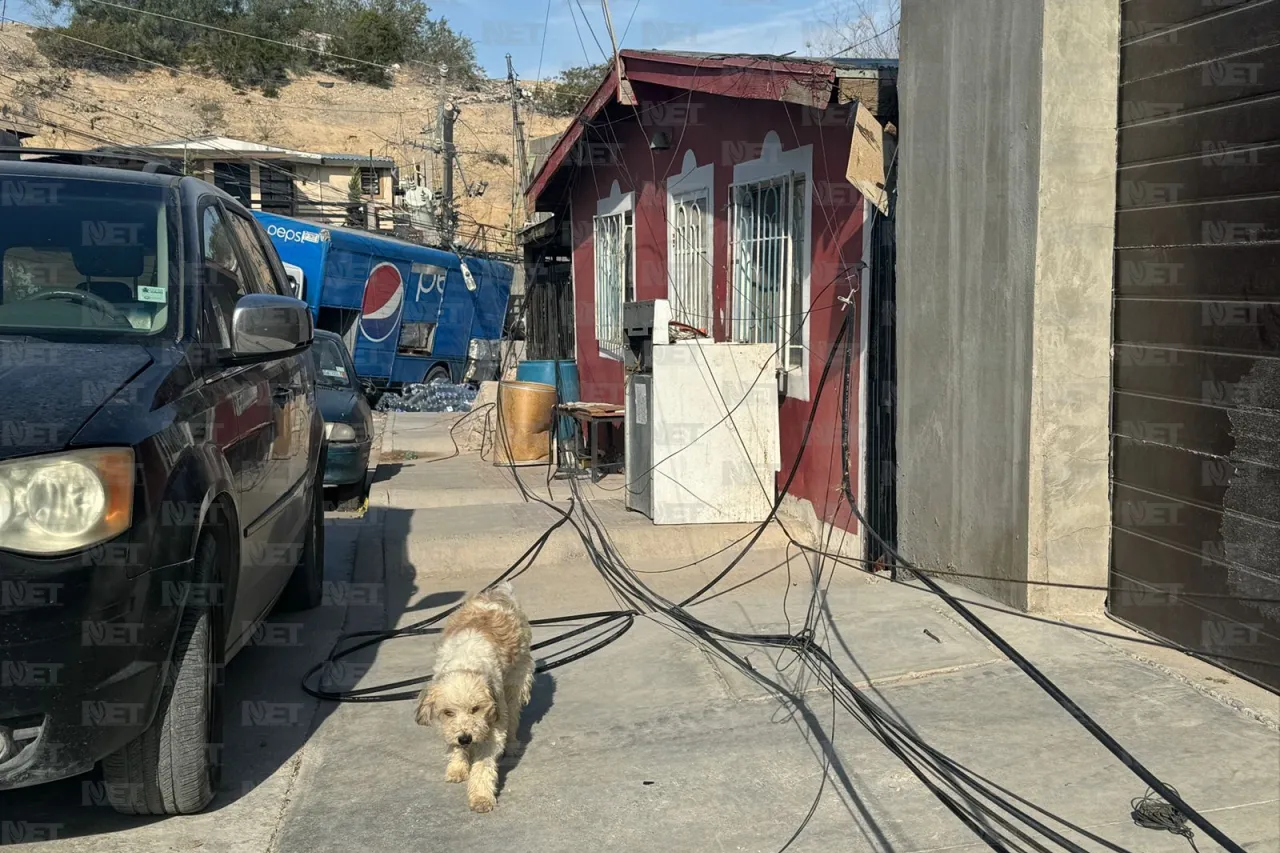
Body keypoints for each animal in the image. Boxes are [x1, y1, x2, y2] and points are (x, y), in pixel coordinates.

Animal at [414, 578, 535, 809]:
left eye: (476, 709)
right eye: (448, 712)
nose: (465, 738)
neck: (465, 664)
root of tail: (497, 594)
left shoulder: (494, 724)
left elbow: (483, 765)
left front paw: (480, 796)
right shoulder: (451, 727)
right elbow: (454, 747)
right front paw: (457, 766)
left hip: (515, 682)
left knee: (513, 715)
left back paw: (512, 744)